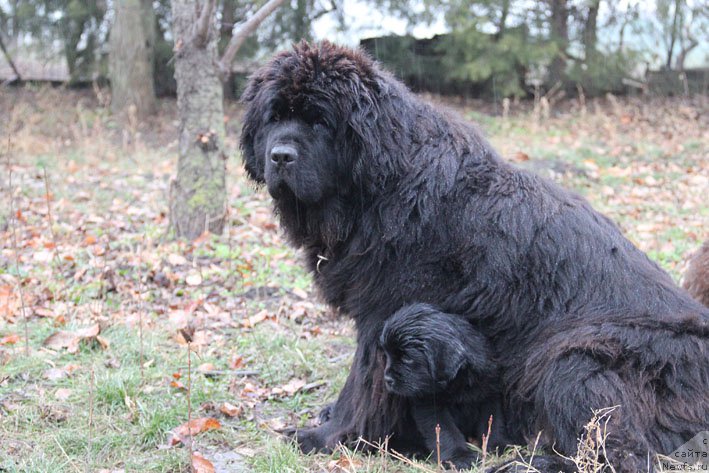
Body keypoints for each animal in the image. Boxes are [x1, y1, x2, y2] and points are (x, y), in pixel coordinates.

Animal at [378, 302, 512, 468]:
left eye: (407, 358)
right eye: (387, 355)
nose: (387, 379)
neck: (458, 381)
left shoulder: (490, 391)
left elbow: (493, 421)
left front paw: (499, 445)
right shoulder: (429, 404)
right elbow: (445, 431)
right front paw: (460, 457)